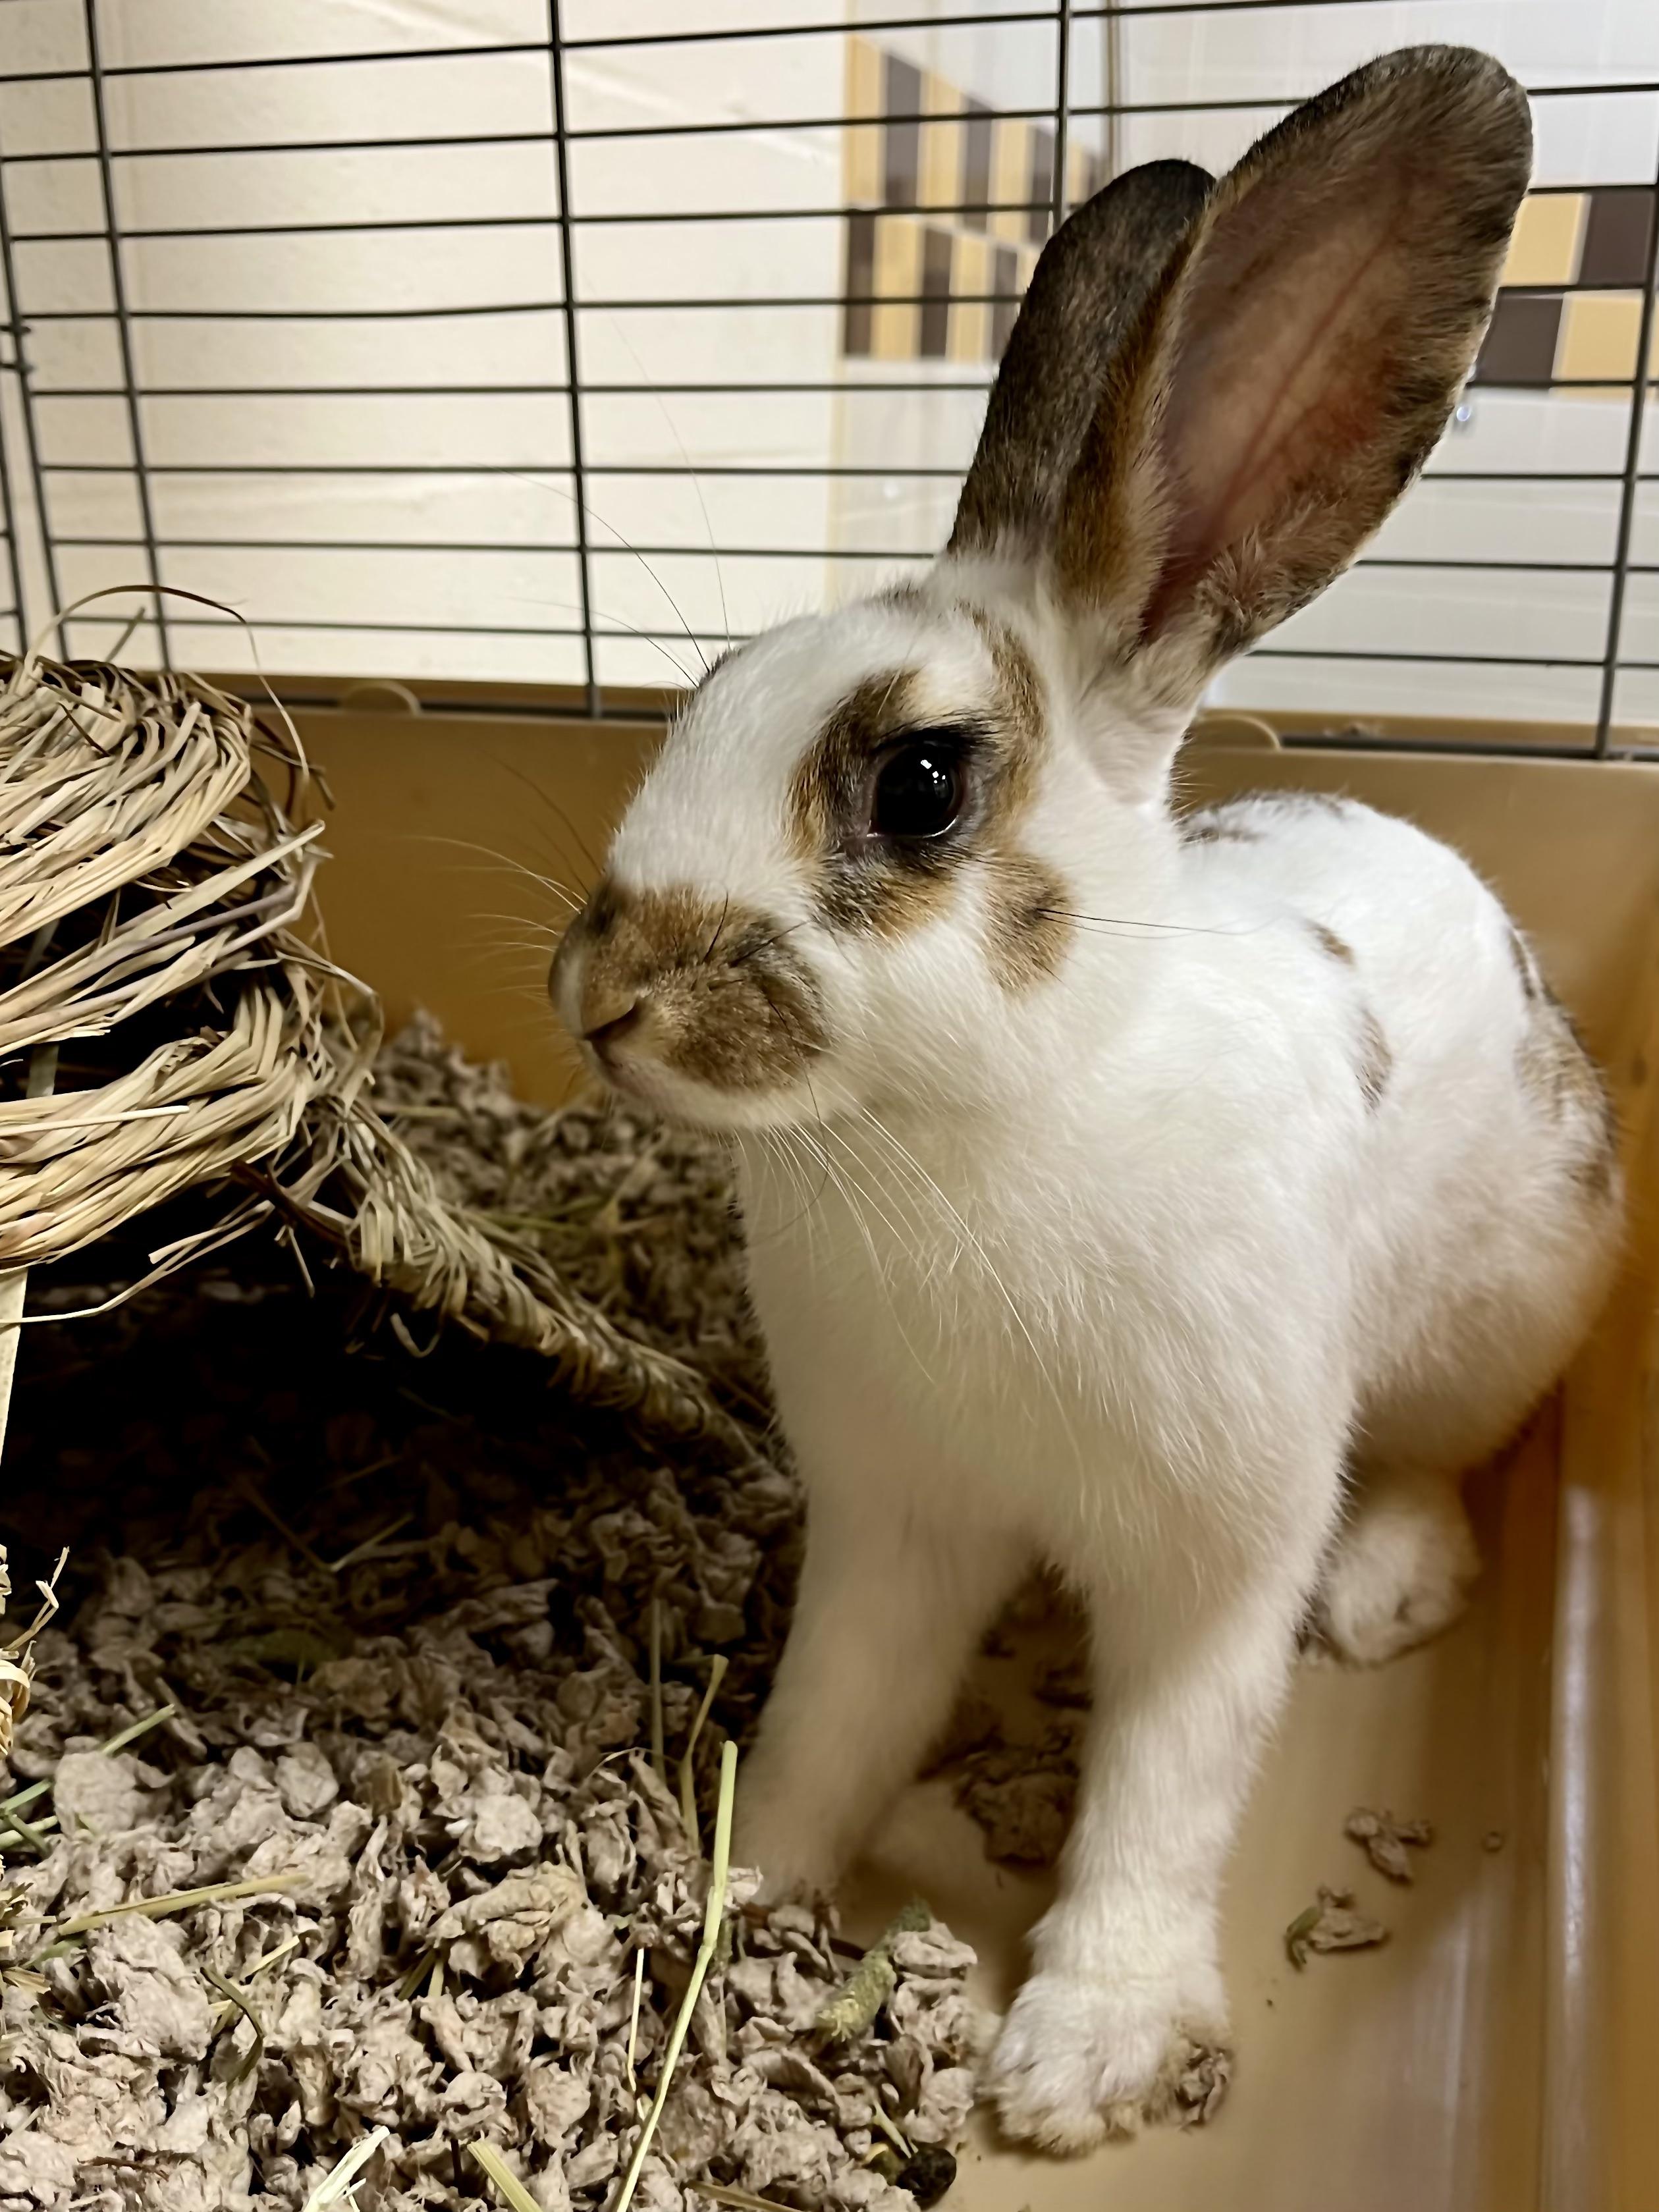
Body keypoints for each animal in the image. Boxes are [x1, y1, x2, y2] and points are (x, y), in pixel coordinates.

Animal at [549, 47, 1622, 2152]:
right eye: (699, 690)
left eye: (917, 783)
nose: (600, 991)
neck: (977, 1138)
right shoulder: (889, 1521)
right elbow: (836, 1708)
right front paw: (745, 1874)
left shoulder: (1214, 1545)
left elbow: (1163, 1785)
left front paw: (1076, 2057)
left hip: (1490, 1318)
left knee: (1440, 1458)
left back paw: (1380, 1585)